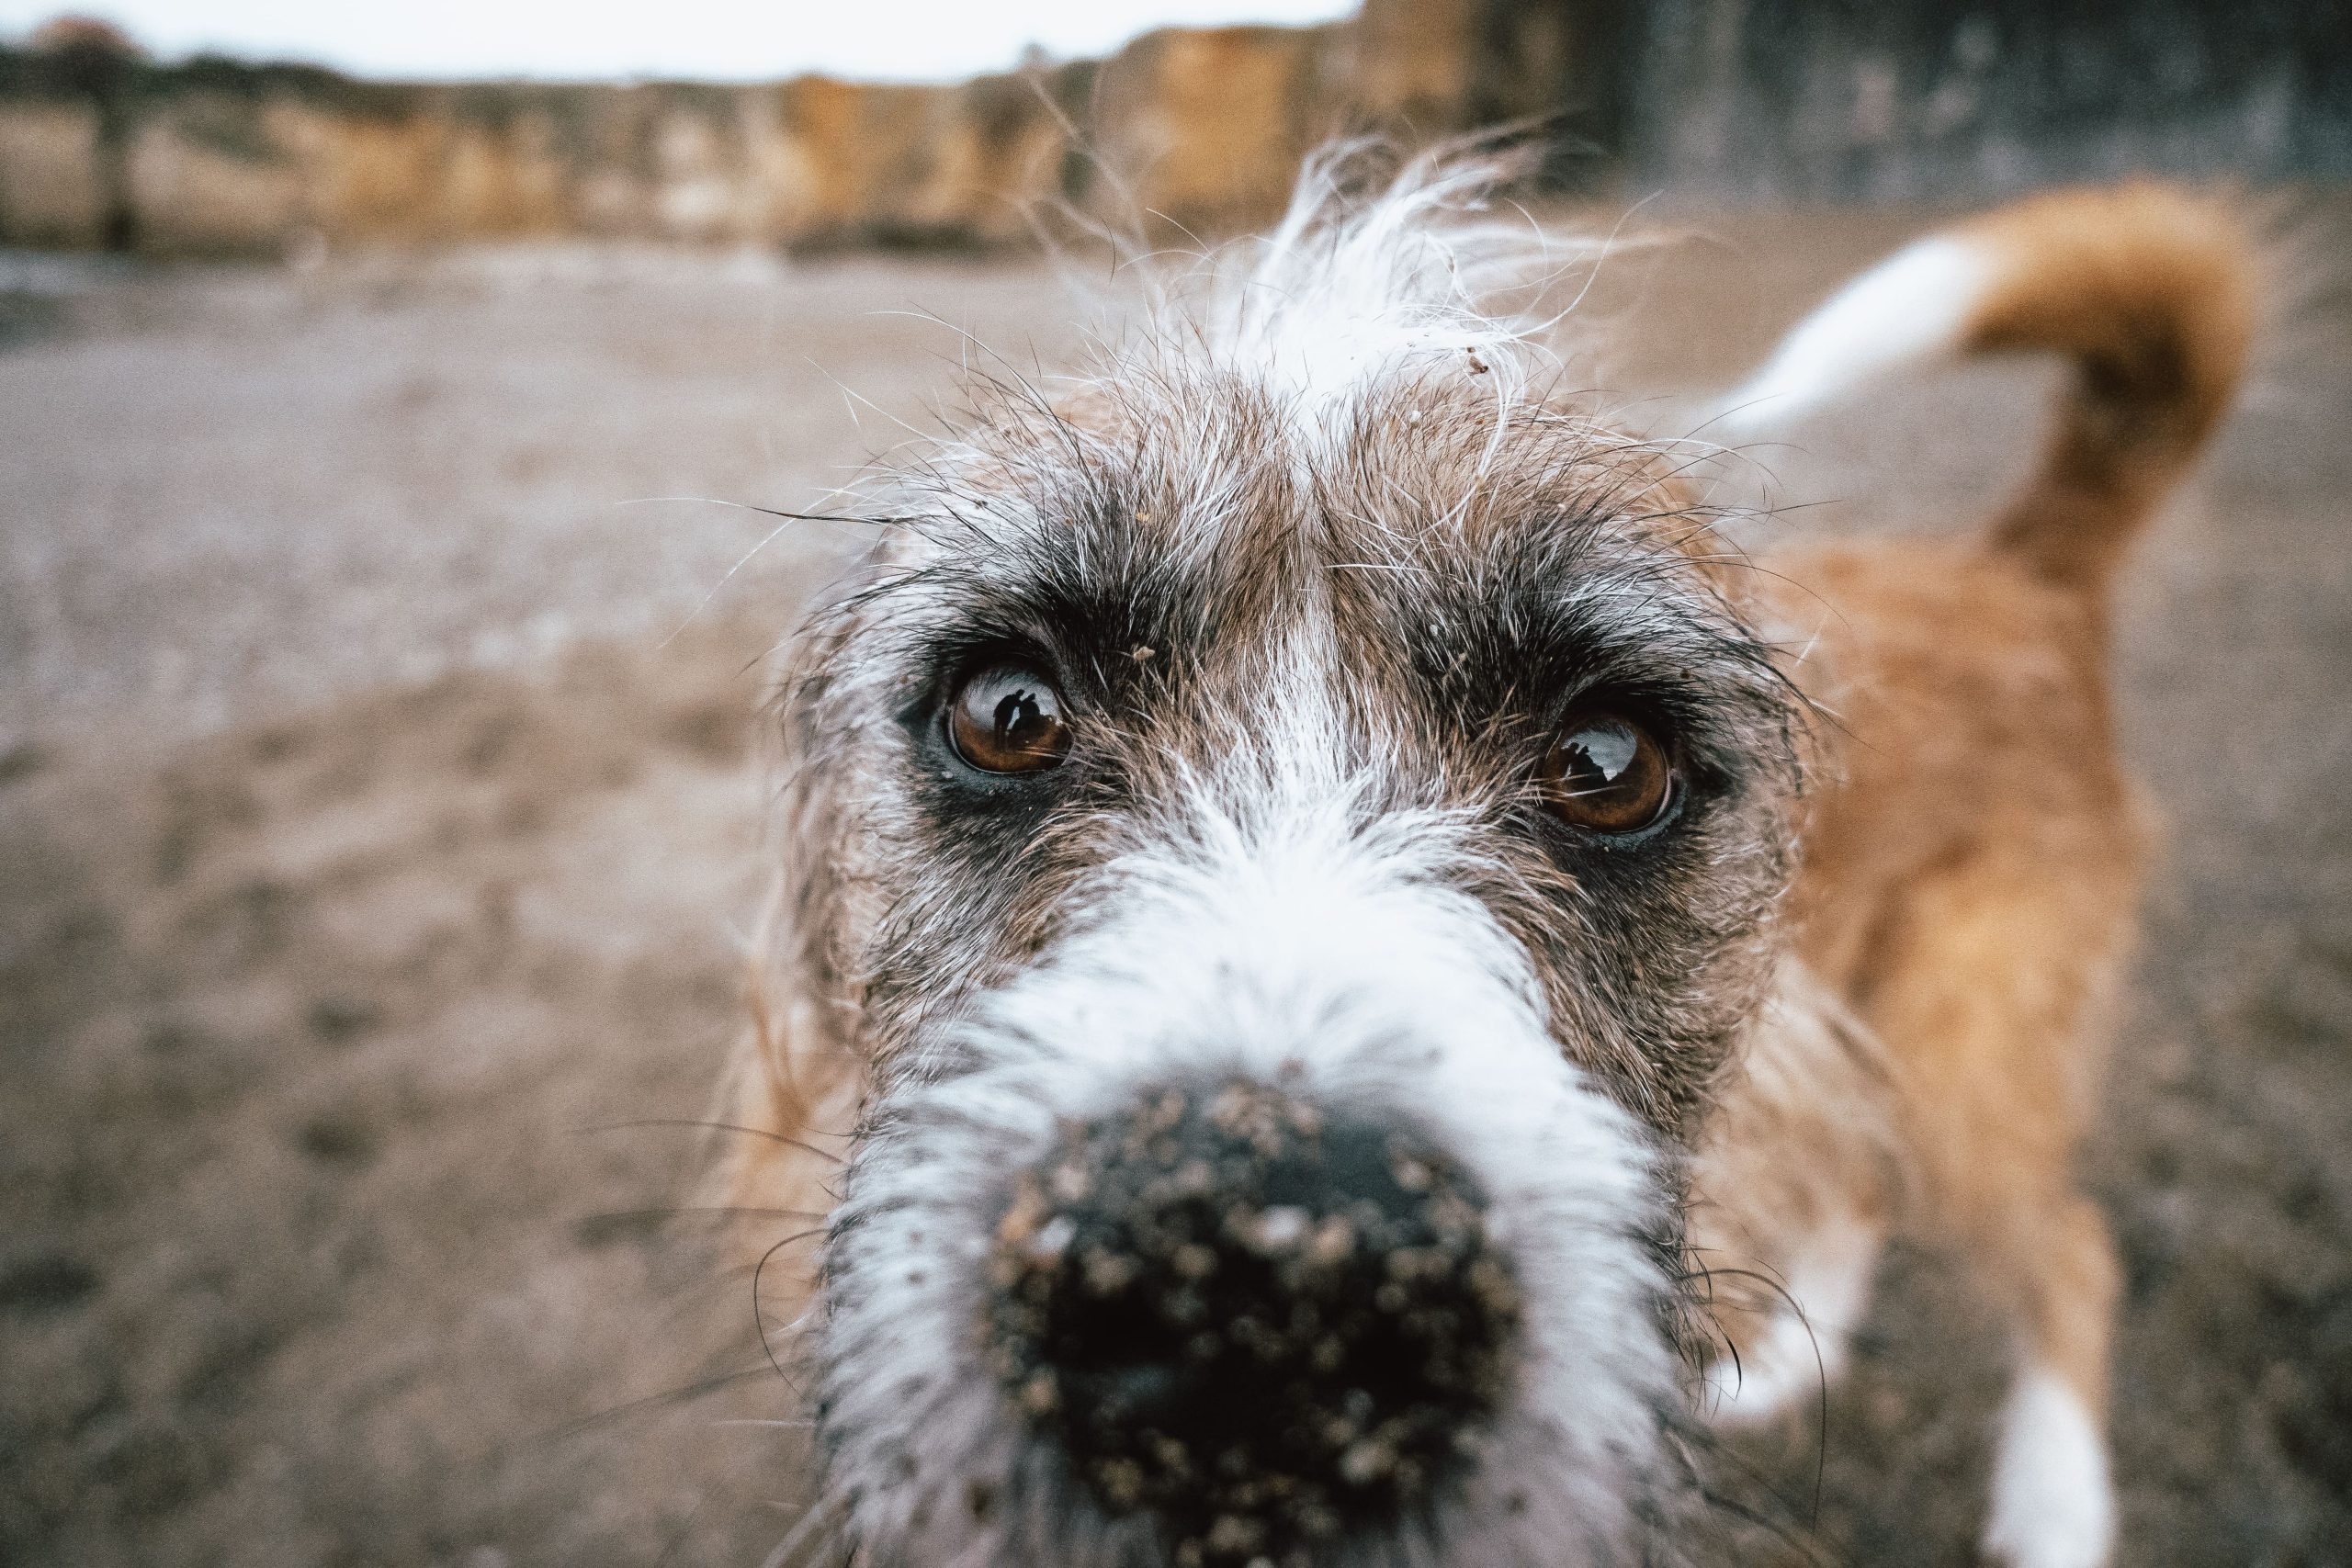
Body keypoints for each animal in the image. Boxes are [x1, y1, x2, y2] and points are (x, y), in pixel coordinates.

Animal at [719, 146, 2257, 1568]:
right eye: (1009, 712)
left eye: (1610, 763)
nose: (1260, 1302)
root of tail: (2022, 569)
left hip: (1969, 1045)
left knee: (2069, 1247)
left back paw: (2054, 1508)